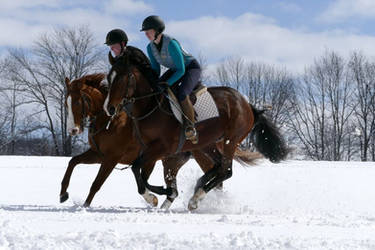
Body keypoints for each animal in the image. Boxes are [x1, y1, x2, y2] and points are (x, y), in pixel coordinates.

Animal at [104, 53, 290, 211]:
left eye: (122, 79)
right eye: (109, 78)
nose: (110, 108)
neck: (150, 106)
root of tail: (248, 105)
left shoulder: (161, 148)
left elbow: (137, 169)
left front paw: (157, 196)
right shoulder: (149, 149)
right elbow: (140, 173)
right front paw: (161, 195)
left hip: (230, 140)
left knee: (226, 170)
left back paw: (196, 198)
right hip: (207, 144)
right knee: (218, 167)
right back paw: (197, 188)